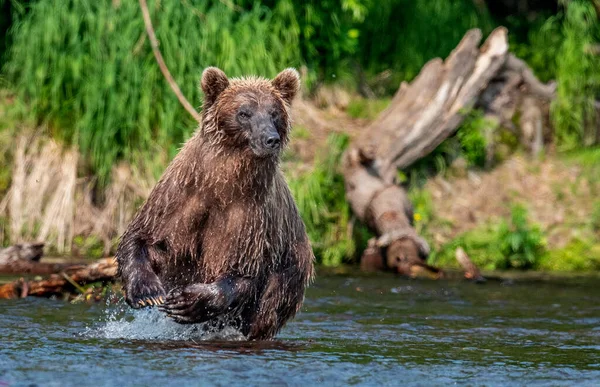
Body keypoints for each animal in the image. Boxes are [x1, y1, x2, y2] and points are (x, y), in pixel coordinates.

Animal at [114, 68, 316, 342]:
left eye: (274, 113)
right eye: (244, 112)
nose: (270, 139)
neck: (222, 183)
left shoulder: (250, 218)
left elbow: (242, 272)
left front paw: (190, 302)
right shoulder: (178, 198)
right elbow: (141, 237)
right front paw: (147, 292)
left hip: (290, 268)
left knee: (268, 305)